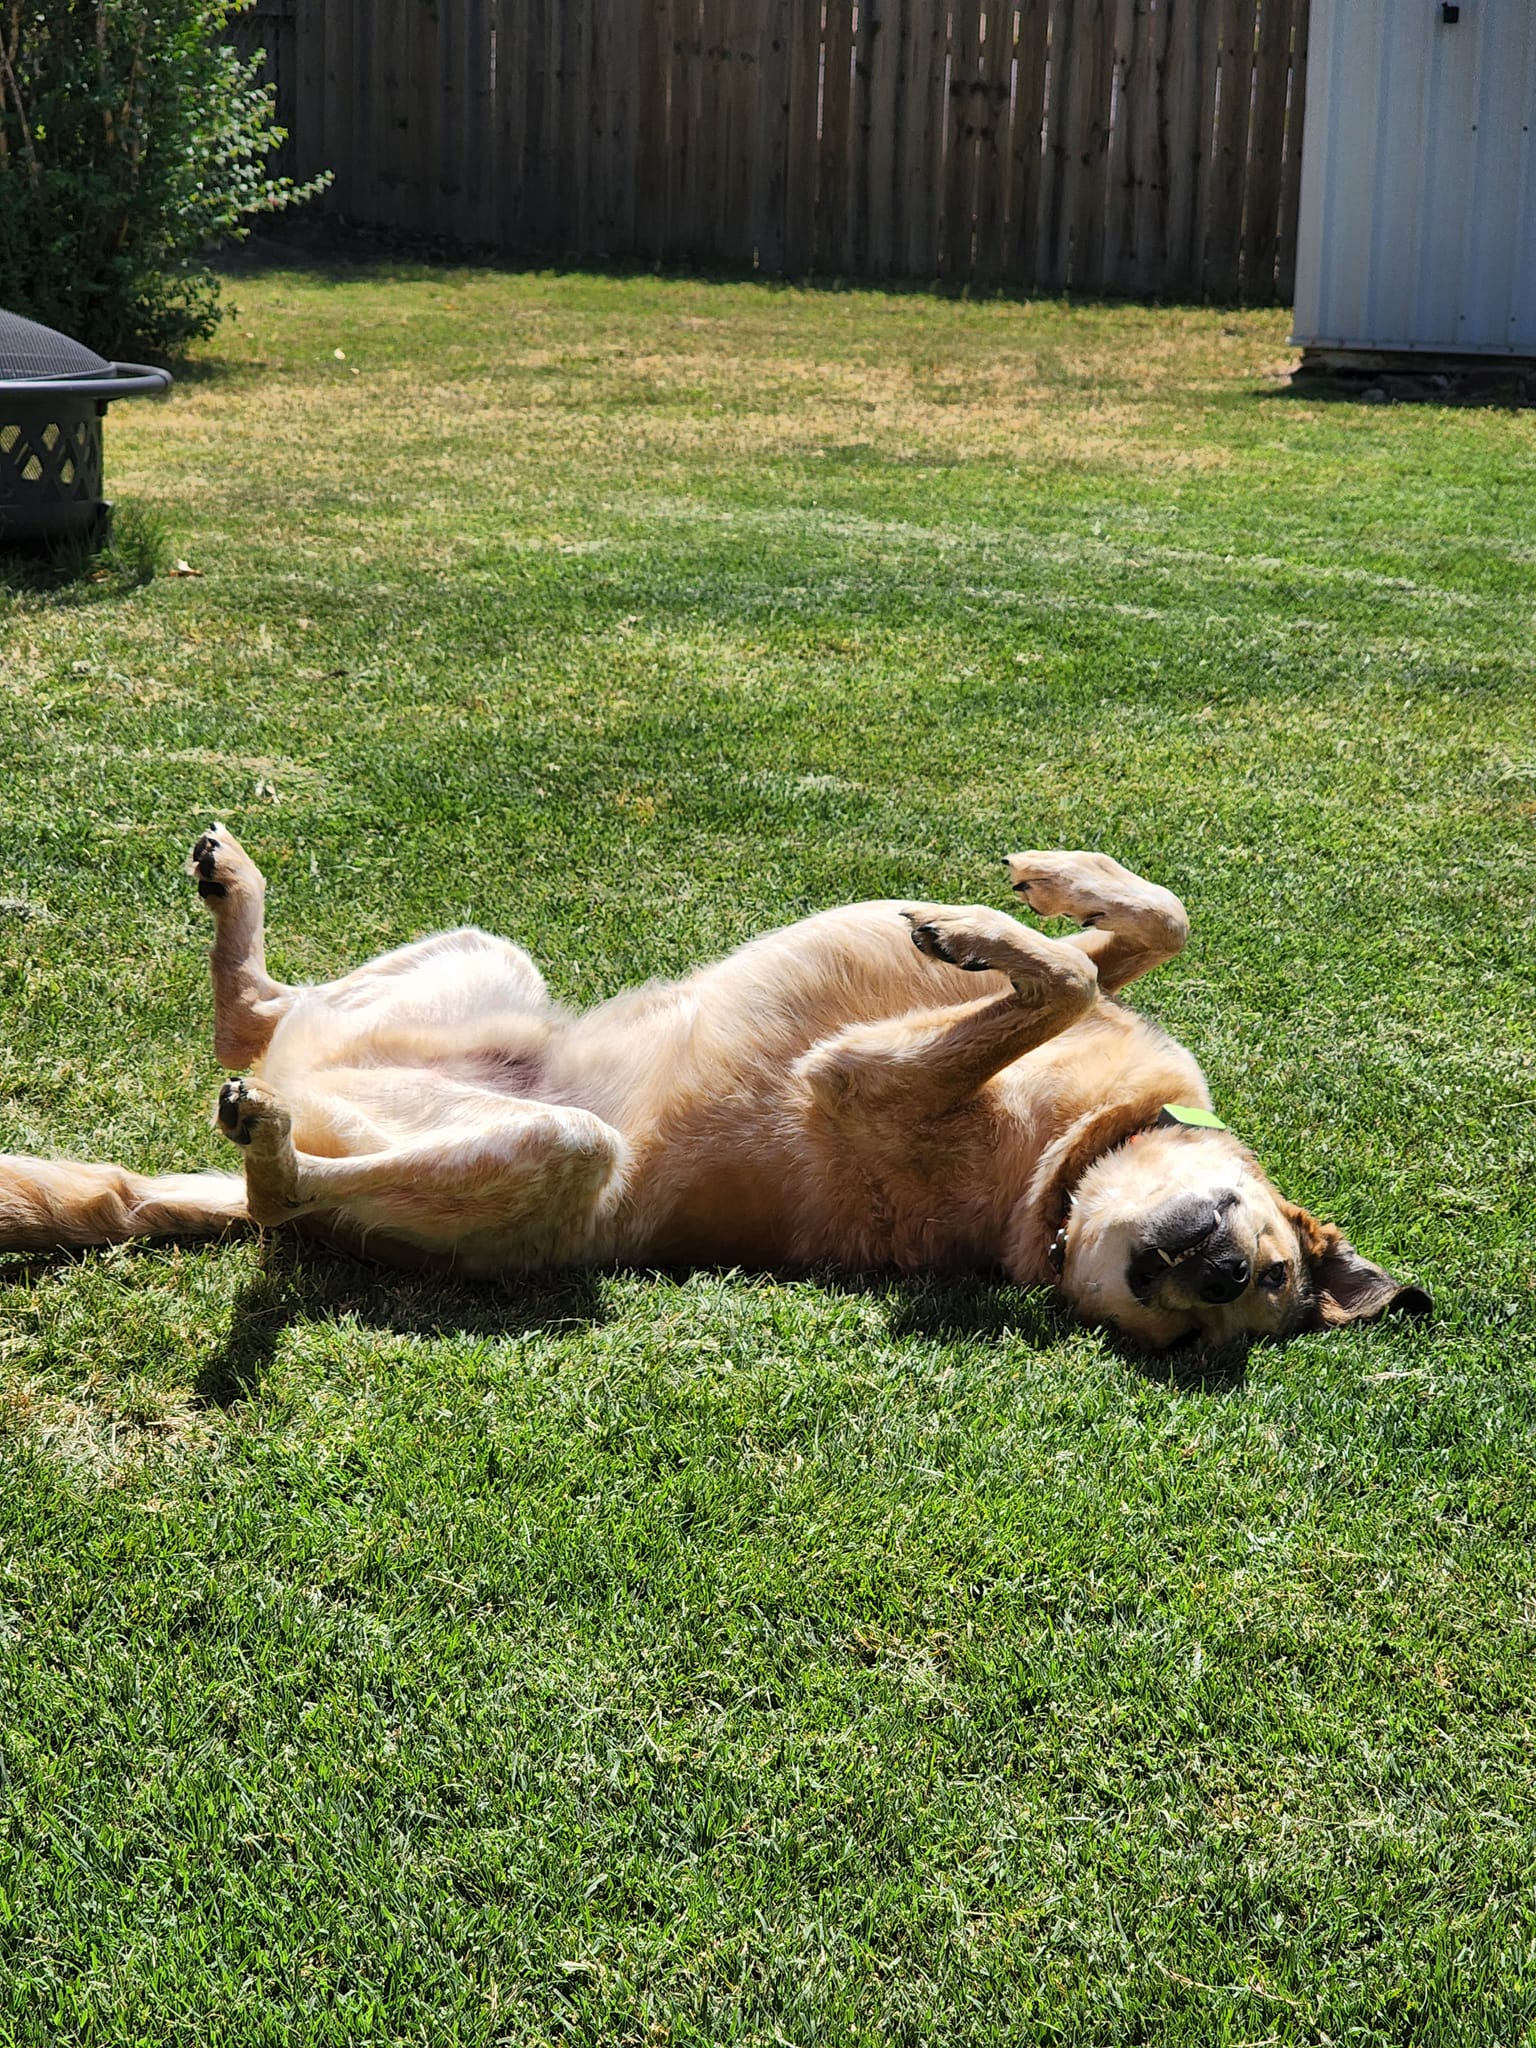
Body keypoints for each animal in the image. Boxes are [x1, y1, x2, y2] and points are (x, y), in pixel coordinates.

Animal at [0, 823, 1433, 1351]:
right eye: (1266, 1265)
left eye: (1218, 1319)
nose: (1207, 1273)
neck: (1070, 1168)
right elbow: (1134, 936)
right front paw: (1037, 891)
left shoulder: (855, 1076)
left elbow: (1070, 979)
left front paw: (993, 934)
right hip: (486, 968)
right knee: (256, 1016)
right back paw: (233, 895)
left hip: (557, 1150)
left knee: (281, 1183)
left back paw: (273, 1142)